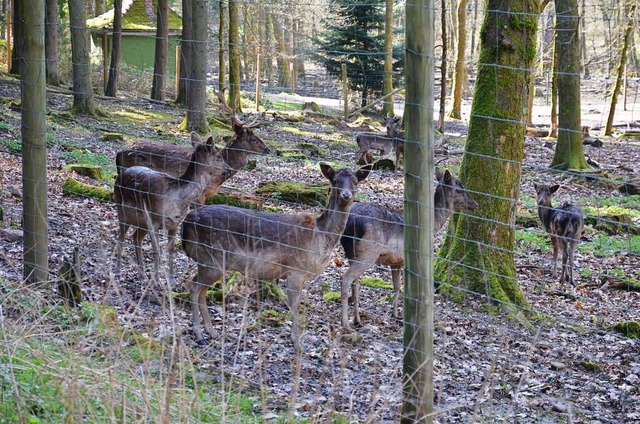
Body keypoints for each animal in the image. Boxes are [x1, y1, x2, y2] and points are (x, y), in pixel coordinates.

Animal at [114, 136, 226, 288]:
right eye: (219, 156)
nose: (227, 168)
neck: (177, 198)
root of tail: (119, 176)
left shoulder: (175, 223)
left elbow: (171, 250)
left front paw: (172, 281)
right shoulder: (154, 220)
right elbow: (157, 250)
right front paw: (156, 282)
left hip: (141, 221)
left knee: (136, 237)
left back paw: (143, 275)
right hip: (122, 211)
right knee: (120, 238)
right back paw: (118, 273)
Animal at [180, 161, 370, 348]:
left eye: (355, 182)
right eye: (335, 180)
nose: (346, 195)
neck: (321, 238)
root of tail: (186, 224)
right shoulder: (295, 269)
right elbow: (294, 305)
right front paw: (297, 342)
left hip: (210, 262)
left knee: (201, 290)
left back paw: (211, 332)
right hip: (211, 258)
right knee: (193, 286)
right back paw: (199, 335)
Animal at [342, 169, 478, 332]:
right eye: (459, 189)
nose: (476, 204)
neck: (432, 228)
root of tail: (350, 223)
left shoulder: (396, 261)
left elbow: (397, 287)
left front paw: (395, 314)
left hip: (353, 253)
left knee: (355, 283)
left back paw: (357, 320)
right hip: (368, 253)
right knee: (346, 278)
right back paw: (346, 324)